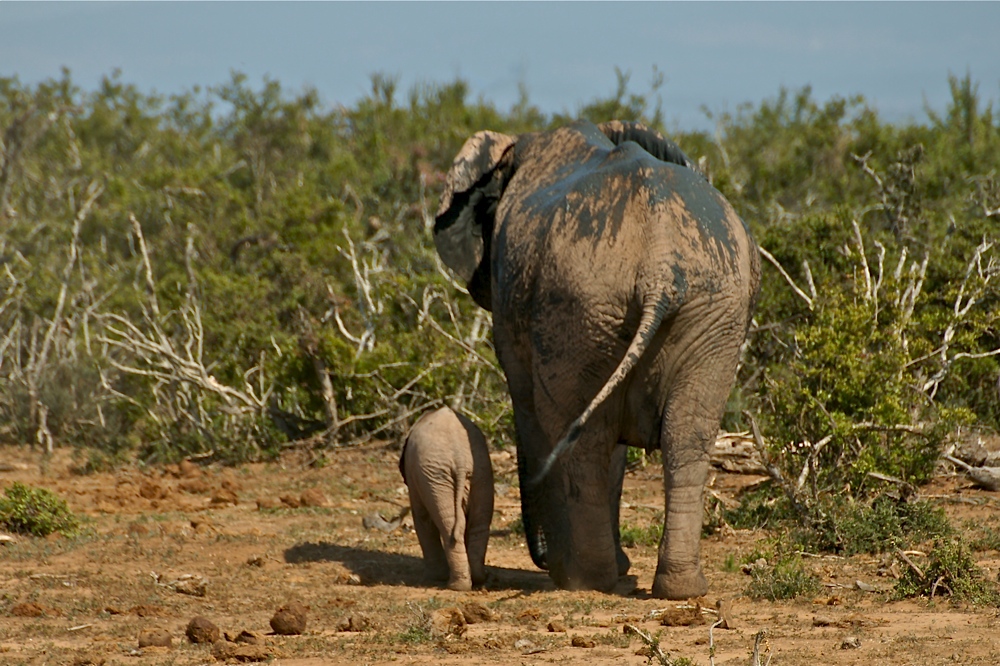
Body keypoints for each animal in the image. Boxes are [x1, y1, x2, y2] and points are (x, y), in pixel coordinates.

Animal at [398, 404, 492, 588]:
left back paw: (455, 586)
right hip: (481, 471)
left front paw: (434, 578)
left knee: (447, 526)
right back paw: (478, 579)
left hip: (436, 476)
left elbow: (422, 519)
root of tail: (461, 459)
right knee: (478, 524)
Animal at [434, 118, 760, 596]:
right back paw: (680, 588)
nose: (541, 557)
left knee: (581, 435)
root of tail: (661, 263)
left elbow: (530, 407)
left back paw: (585, 579)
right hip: (703, 310)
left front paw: (563, 567)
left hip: (580, 304)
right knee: (686, 435)